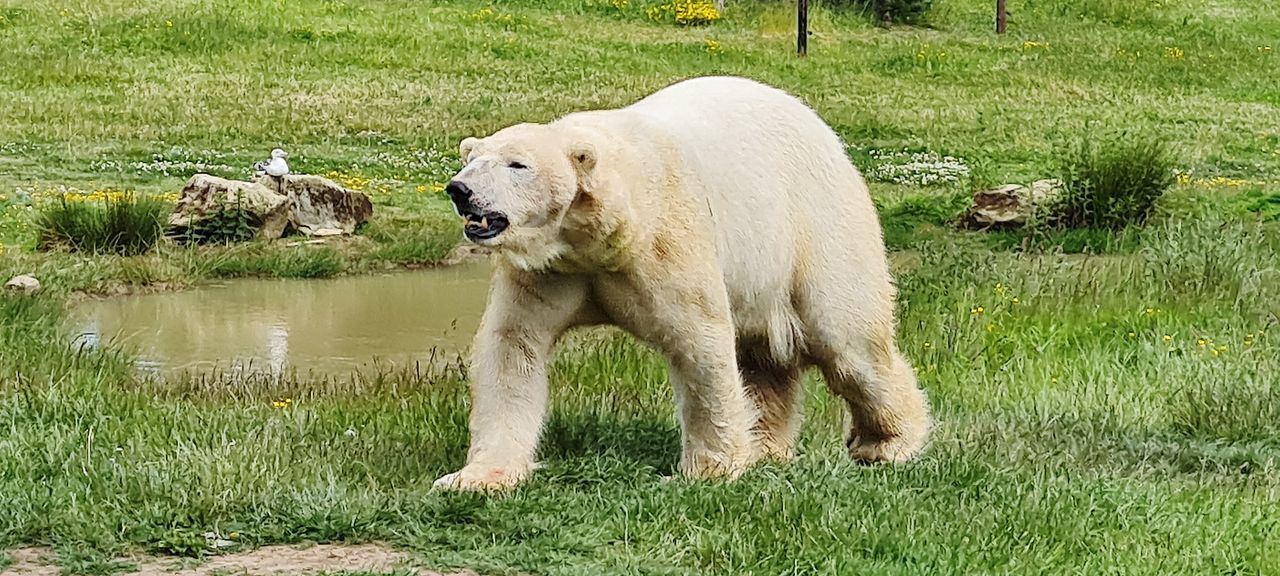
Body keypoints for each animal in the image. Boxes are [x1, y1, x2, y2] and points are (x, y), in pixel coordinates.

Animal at [433, 76, 930, 491]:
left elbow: (699, 341)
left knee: (848, 343)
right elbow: (512, 346)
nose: (460, 190)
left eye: (517, 164)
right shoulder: (552, 270)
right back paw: (765, 447)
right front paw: (475, 477)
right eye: (472, 158)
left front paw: (709, 470)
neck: (601, 235)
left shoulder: (666, 241)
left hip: (816, 225)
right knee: (765, 359)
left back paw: (886, 443)